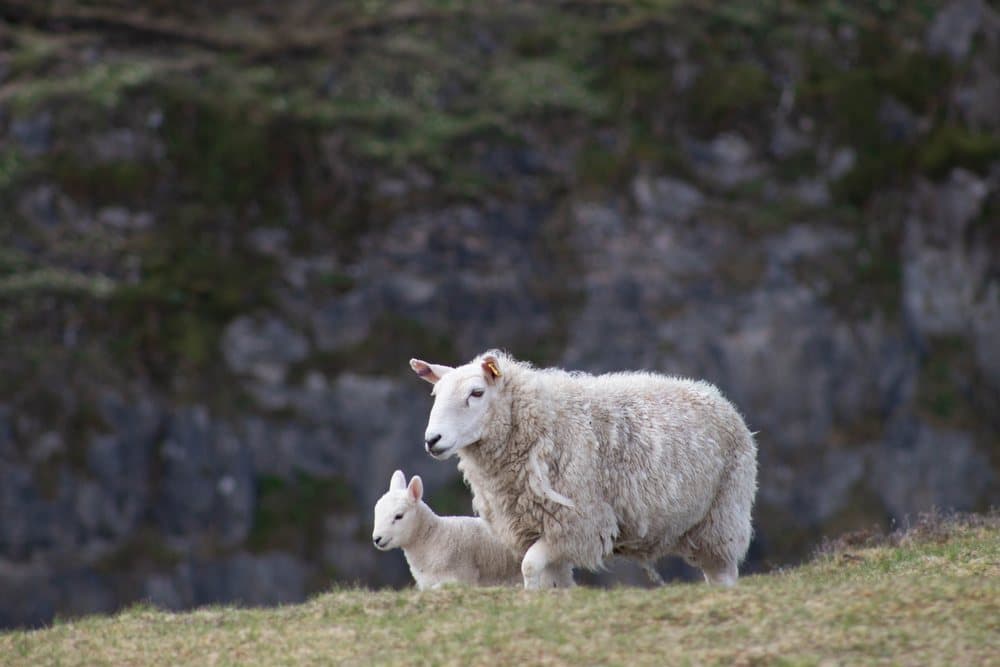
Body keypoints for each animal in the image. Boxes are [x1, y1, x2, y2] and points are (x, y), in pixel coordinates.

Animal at [409, 351, 758, 590]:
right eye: (435, 395)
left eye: (477, 393)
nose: (432, 440)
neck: (541, 423)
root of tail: (713, 395)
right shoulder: (541, 528)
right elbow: (549, 576)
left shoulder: (577, 525)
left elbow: (529, 567)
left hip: (722, 516)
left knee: (723, 573)